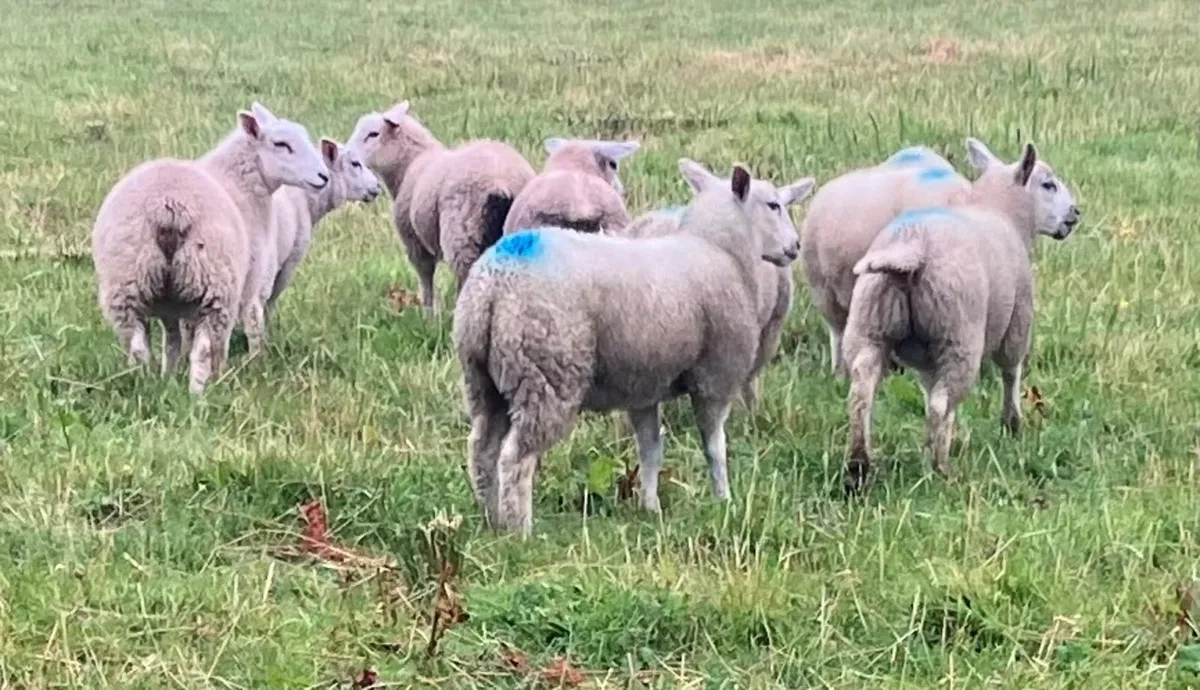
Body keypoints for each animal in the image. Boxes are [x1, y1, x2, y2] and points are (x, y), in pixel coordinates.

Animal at [91, 102, 330, 394]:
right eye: (281, 144)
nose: (323, 176)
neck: (242, 186)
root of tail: (168, 205)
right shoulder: (248, 284)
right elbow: (244, 329)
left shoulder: (171, 303)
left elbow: (173, 342)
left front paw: (168, 378)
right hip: (215, 285)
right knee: (204, 349)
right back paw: (200, 394)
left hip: (126, 283)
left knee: (136, 347)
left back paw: (144, 387)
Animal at [346, 100, 536, 315]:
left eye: (373, 134)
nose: (346, 154)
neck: (409, 164)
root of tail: (501, 181)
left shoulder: (414, 239)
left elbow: (426, 276)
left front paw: (428, 314)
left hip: (462, 234)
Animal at [840, 138, 1081, 495]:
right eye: (1048, 184)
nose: (1075, 214)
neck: (1002, 212)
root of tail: (912, 248)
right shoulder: (1018, 319)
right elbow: (1011, 372)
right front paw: (1012, 425)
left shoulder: (928, 358)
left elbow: (932, 394)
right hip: (959, 335)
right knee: (941, 403)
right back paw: (940, 470)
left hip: (870, 323)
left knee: (862, 393)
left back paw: (859, 468)